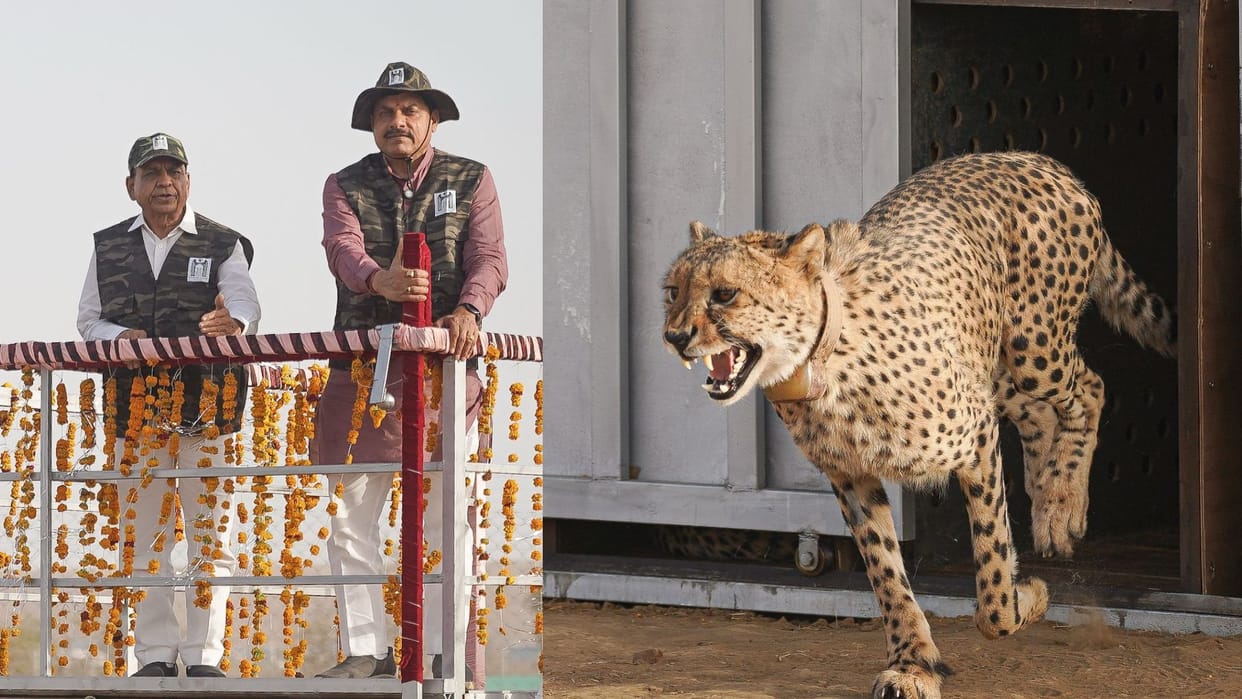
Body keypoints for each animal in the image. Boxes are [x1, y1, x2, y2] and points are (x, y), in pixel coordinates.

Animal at [660, 151, 1175, 699]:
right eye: (672, 292)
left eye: (725, 294)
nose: (674, 336)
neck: (820, 362)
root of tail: (1029, 158)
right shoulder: (851, 476)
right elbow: (887, 575)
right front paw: (914, 663)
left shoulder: (976, 438)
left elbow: (993, 581)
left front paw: (1025, 598)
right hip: (993, 367)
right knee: (1038, 411)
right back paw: (1043, 495)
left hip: (1035, 350)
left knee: (1091, 388)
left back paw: (1061, 503)